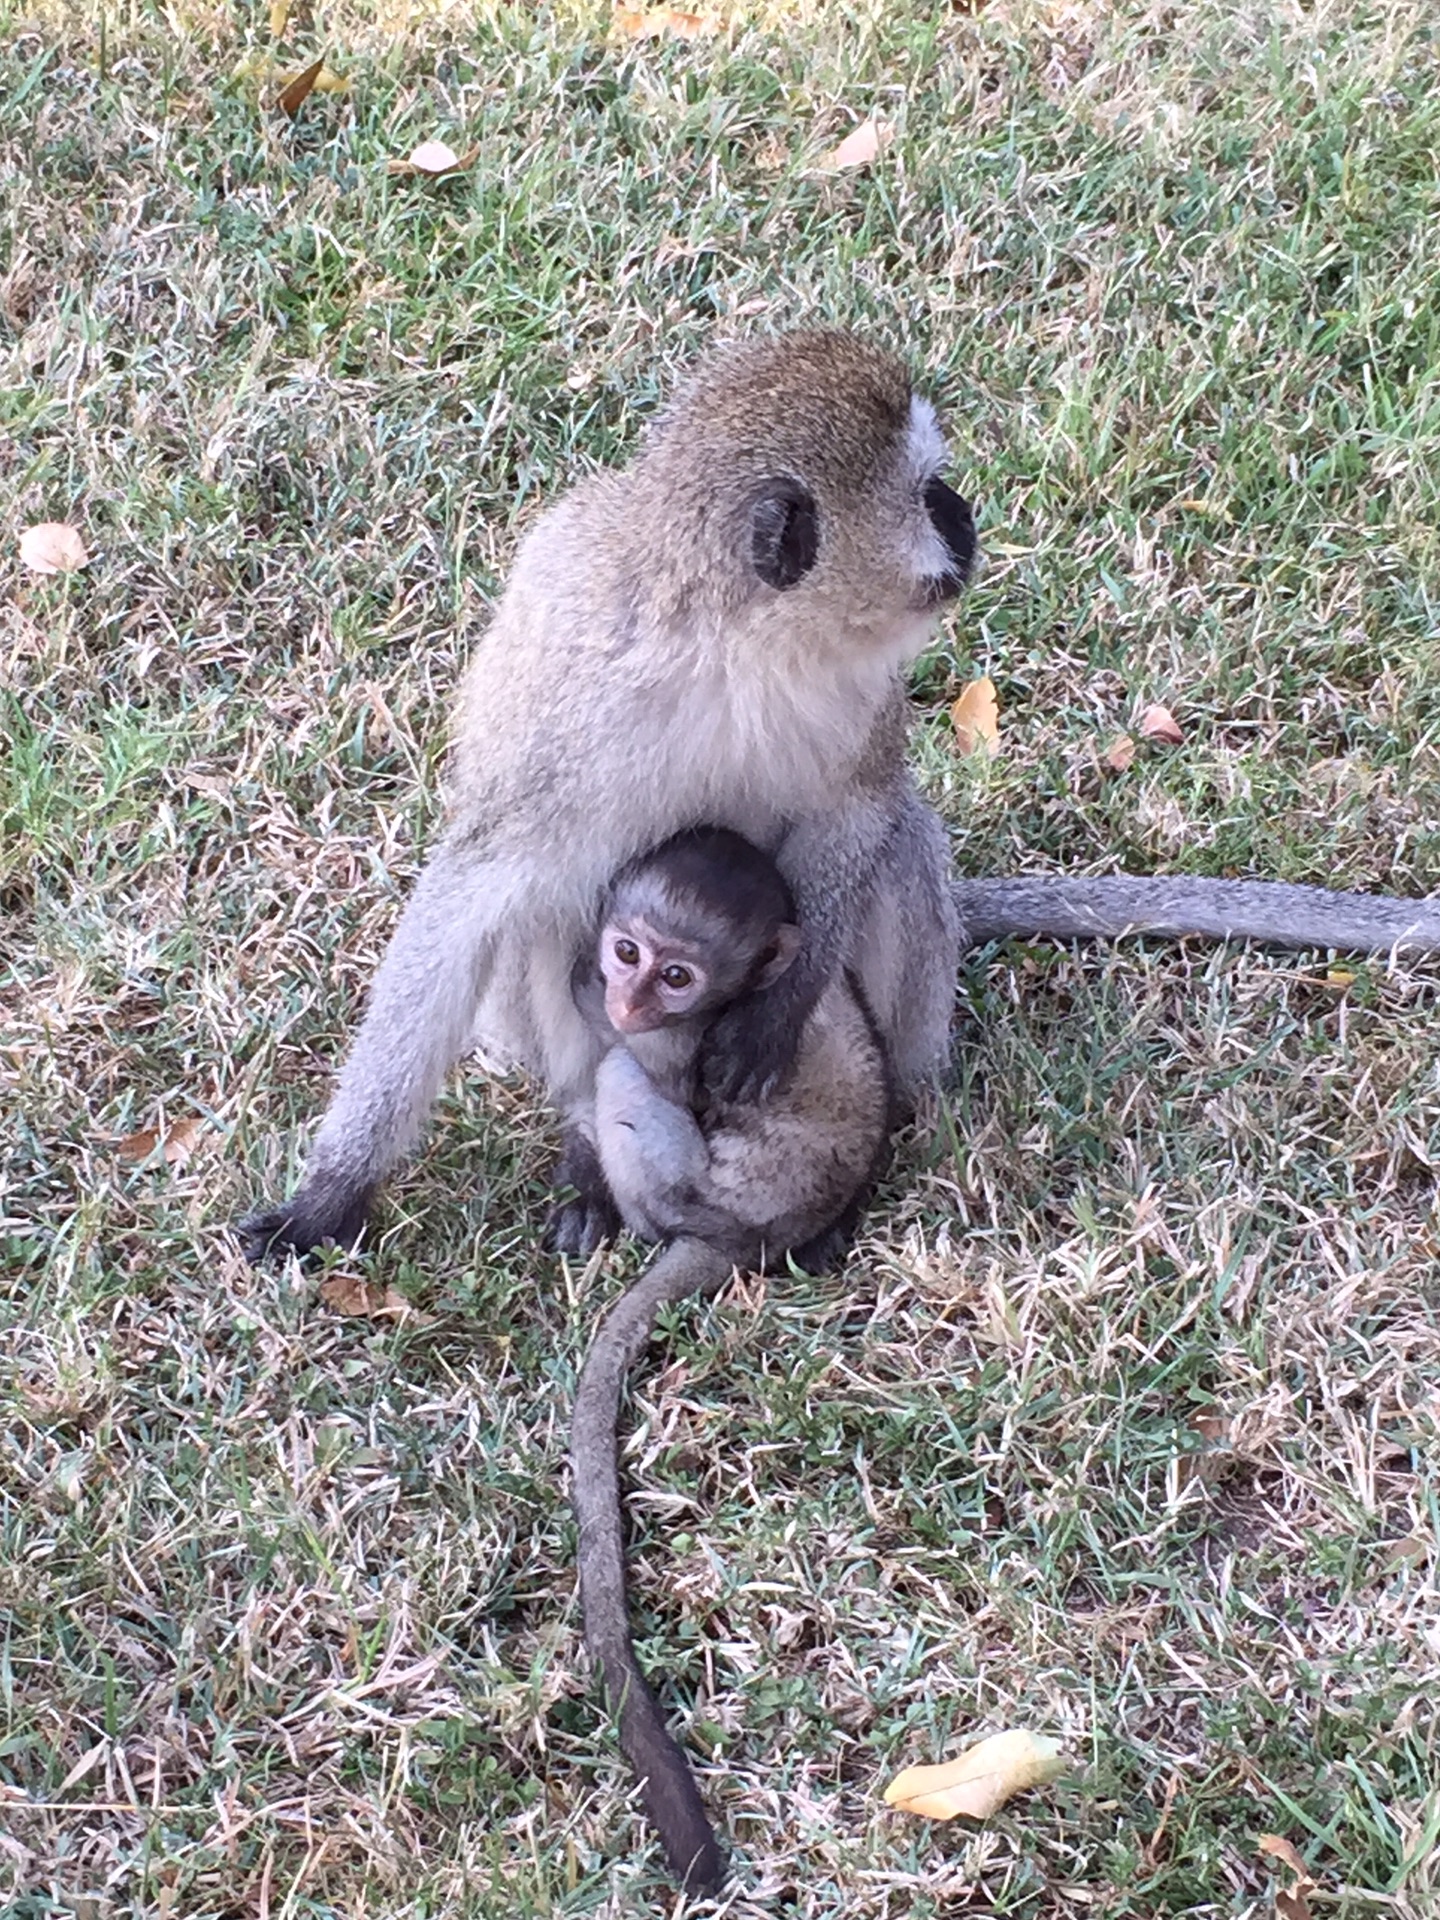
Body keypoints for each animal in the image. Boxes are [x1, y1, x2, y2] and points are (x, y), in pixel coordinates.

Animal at [568, 825, 898, 1889]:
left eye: (676, 976)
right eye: (629, 951)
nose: (627, 996)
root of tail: (757, 1238)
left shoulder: (680, 1044)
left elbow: (636, 1065)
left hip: (692, 1186)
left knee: (620, 1088)